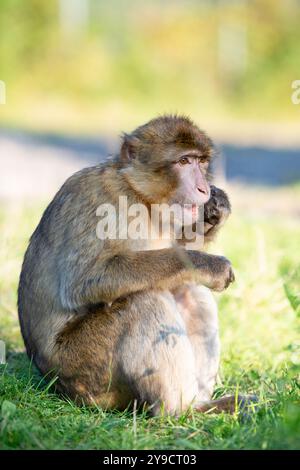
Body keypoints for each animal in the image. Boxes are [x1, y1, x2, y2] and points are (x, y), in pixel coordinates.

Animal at [17, 115, 254, 416]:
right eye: (184, 161)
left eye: (201, 162)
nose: (202, 188)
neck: (141, 196)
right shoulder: (102, 201)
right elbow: (86, 280)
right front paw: (211, 265)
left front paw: (216, 209)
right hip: (85, 371)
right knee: (143, 301)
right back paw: (180, 412)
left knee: (189, 290)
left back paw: (200, 405)